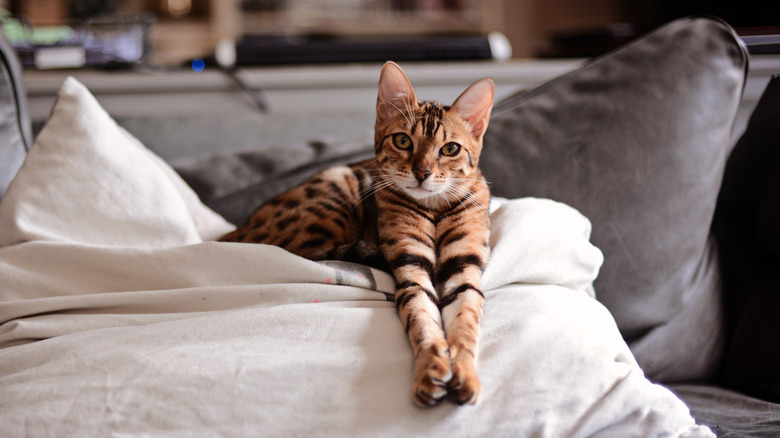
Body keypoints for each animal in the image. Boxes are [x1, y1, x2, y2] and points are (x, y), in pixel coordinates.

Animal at [221, 60, 494, 404]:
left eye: (450, 149)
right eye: (402, 141)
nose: (422, 173)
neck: (432, 208)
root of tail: (232, 233)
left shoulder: (465, 265)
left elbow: (465, 323)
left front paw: (465, 374)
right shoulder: (411, 264)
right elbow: (422, 318)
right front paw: (431, 368)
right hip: (336, 190)